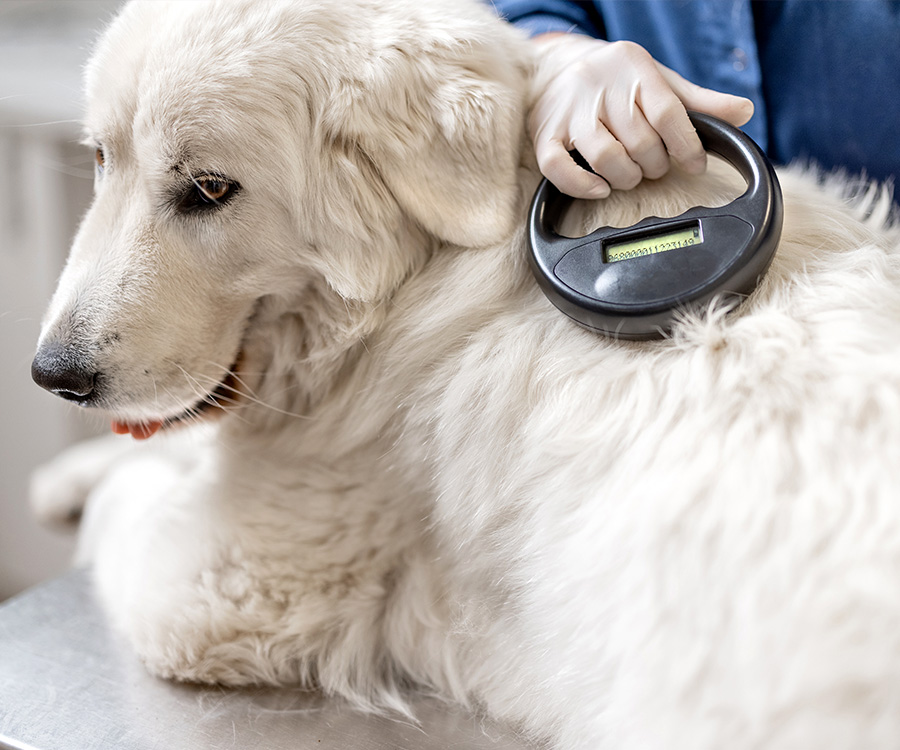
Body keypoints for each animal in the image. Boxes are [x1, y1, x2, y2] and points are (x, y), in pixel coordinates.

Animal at [28, 1, 900, 750]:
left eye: (209, 189)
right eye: (101, 159)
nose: (52, 376)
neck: (421, 281)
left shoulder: (218, 588)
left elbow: (131, 503)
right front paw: (70, 471)